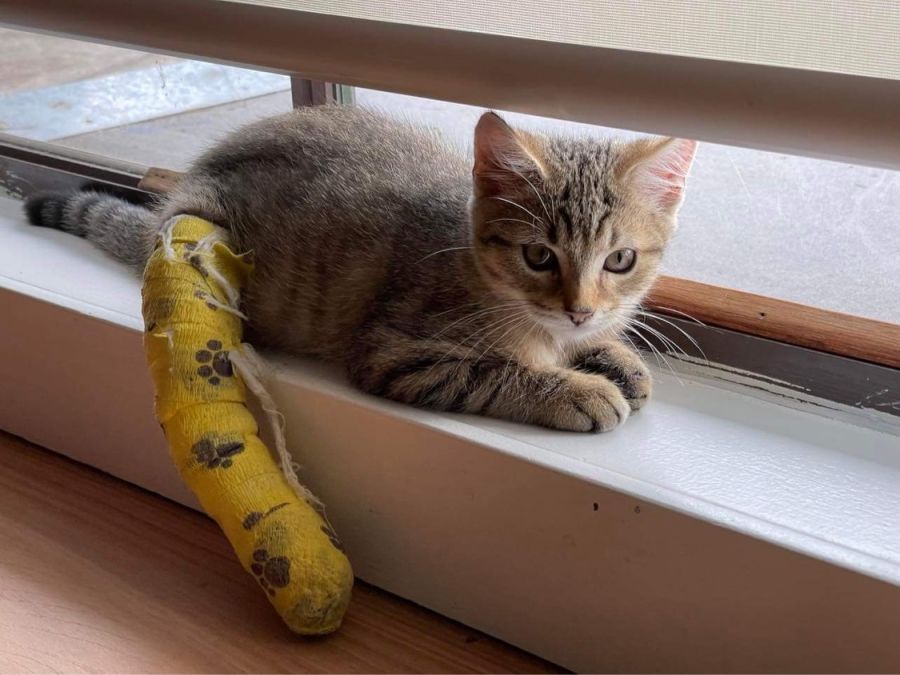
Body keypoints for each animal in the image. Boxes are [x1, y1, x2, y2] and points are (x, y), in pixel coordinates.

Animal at [25, 105, 696, 432]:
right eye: (538, 256)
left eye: (620, 260)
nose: (578, 309)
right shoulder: (398, 352)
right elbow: (495, 373)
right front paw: (578, 390)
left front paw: (616, 357)